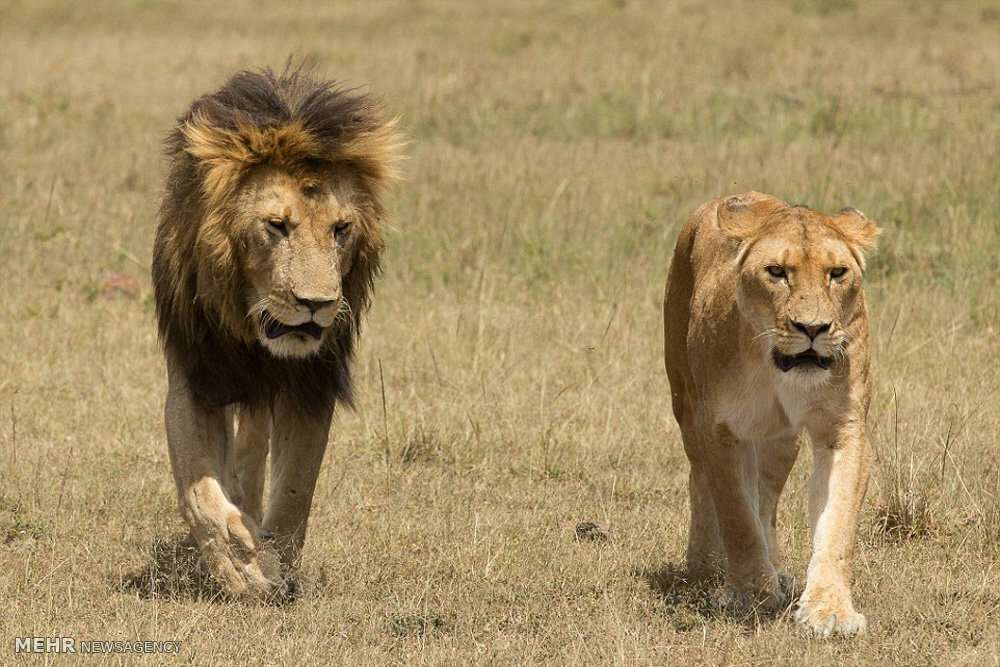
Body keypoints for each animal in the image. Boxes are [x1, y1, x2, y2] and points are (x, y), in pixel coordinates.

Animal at [150, 68, 400, 600]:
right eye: (277, 226)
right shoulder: (196, 375)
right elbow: (197, 486)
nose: (317, 304)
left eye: (341, 228)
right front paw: (241, 566)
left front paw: (275, 562)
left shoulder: (311, 383)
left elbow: (295, 487)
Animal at [668, 192, 880, 636]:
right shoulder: (719, 429)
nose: (812, 328)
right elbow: (736, 516)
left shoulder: (843, 430)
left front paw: (830, 610)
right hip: (685, 405)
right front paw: (749, 593)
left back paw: (777, 570)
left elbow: (836, 524)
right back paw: (706, 566)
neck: (774, 367)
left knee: (766, 502)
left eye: (837, 272)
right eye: (777, 272)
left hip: (780, 440)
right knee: (700, 480)